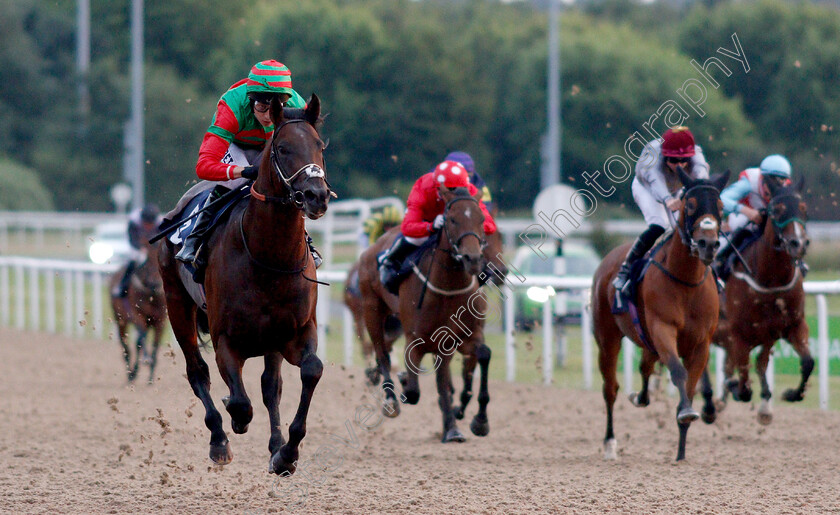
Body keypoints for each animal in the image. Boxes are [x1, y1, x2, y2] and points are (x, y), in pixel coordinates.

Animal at [110, 244, 166, 384]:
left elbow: (155, 346)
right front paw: (143, 363)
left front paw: (151, 379)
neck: (152, 296)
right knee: (126, 347)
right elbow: (141, 340)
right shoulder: (138, 316)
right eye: (146, 264)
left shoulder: (161, 321)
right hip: (121, 321)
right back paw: (130, 374)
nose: (155, 283)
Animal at [158, 97, 332, 476]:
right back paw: (219, 440)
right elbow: (238, 399)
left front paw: (286, 453)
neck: (268, 257)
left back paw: (275, 444)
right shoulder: (226, 339)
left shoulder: (297, 331)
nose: (317, 196)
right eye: (282, 149)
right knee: (198, 372)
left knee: (270, 386)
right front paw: (235, 421)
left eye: (319, 145)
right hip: (177, 305)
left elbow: (310, 371)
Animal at [356, 188, 492, 444]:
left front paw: (477, 422)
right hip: (371, 309)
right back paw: (391, 399)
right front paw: (403, 381)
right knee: (381, 353)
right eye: (452, 219)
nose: (472, 259)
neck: (447, 289)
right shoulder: (415, 340)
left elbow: (482, 356)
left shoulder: (460, 339)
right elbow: (413, 391)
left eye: (481, 219)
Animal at [592, 170, 728, 464]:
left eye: (721, 206)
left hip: (648, 342)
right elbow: (678, 372)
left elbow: (690, 383)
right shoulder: (663, 329)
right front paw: (686, 413)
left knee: (645, 367)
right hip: (608, 338)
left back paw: (640, 397)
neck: (686, 281)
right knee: (610, 388)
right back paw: (609, 443)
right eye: (690, 204)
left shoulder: (701, 343)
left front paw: (681, 451)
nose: (708, 244)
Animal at [704, 175, 812, 426]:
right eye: (777, 209)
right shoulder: (738, 335)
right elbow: (743, 385)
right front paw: (735, 388)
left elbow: (807, 362)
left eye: (803, 208)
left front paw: (790, 394)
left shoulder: (790, 326)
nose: (798, 243)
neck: (771, 280)